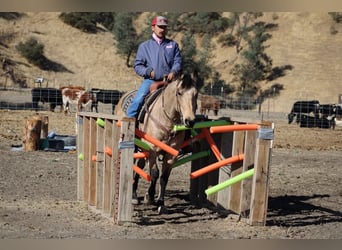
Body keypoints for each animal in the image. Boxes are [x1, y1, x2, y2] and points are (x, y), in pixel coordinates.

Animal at [115, 73, 198, 214]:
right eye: (179, 93)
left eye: (196, 94)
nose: (190, 121)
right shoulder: (152, 150)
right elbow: (154, 173)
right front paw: (150, 196)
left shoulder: (171, 154)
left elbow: (164, 177)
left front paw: (160, 202)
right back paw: (134, 196)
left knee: (140, 165)